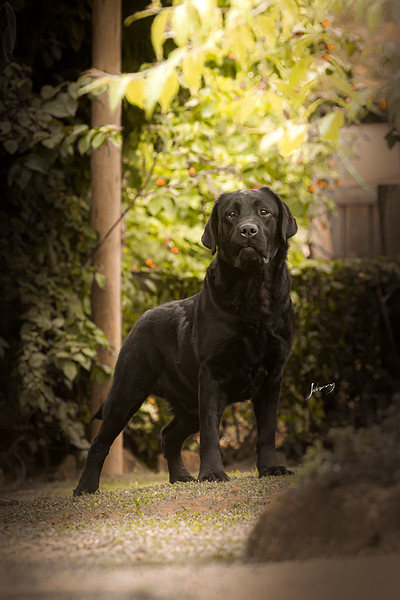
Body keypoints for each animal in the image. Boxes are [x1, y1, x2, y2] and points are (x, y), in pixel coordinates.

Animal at [73, 185, 296, 494]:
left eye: (264, 212)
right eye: (231, 215)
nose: (248, 230)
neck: (252, 292)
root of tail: (141, 318)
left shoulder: (273, 376)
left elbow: (267, 431)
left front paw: (271, 469)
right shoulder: (212, 374)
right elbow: (211, 433)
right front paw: (212, 473)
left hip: (188, 405)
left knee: (169, 434)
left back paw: (180, 476)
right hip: (127, 391)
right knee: (100, 441)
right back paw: (85, 487)